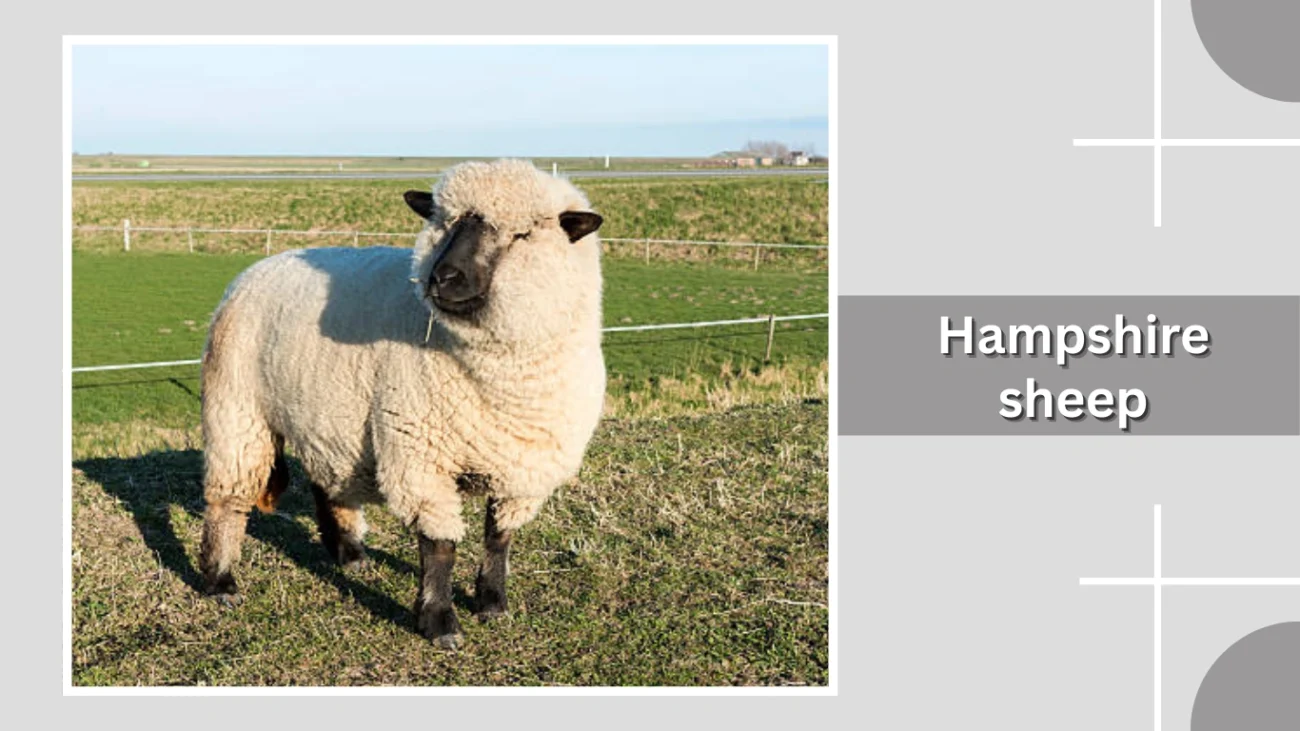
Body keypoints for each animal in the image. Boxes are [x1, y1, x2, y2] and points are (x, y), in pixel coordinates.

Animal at [198, 159, 606, 648]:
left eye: (522, 234)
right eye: (442, 222)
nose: (442, 278)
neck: (499, 382)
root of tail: (260, 266)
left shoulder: (527, 469)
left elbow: (499, 538)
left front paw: (492, 603)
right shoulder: (421, 456)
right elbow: (440, 546)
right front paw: (440, 623)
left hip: (324, 414)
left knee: (324, 480)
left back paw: (349, 553)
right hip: (237, 406)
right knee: (228, 497)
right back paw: (221, 581)